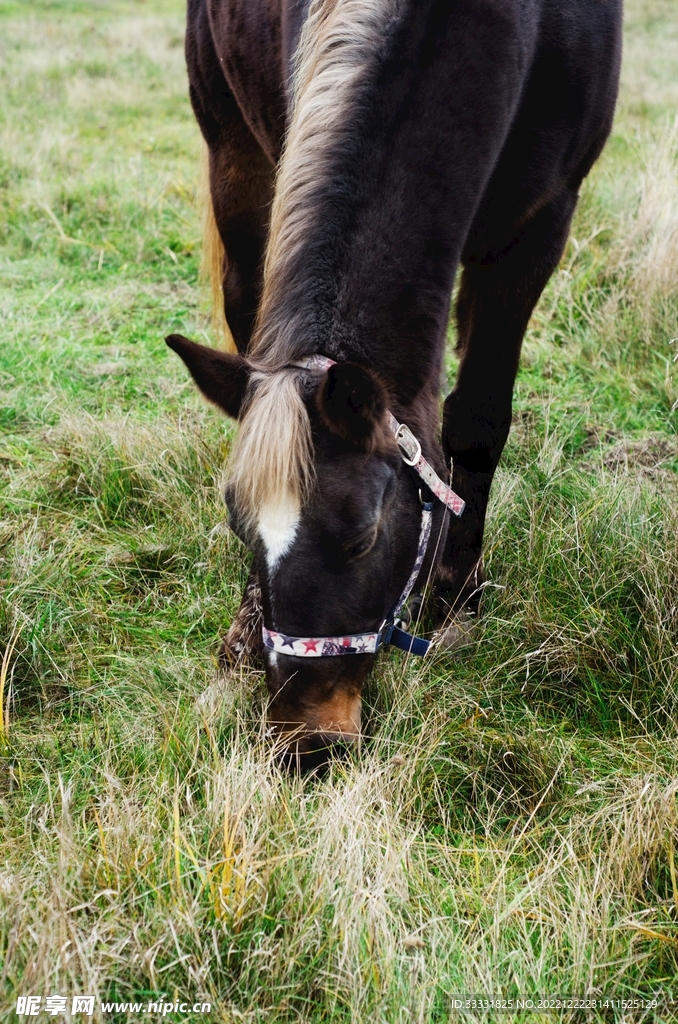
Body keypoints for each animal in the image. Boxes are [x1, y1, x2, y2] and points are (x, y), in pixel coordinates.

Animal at [167, 0, 622, 769]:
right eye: (239, 529)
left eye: (362, 539)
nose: (306, 744)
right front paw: (245, 629)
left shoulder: (540, 225)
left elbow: (476, 422)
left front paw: (457, 598)